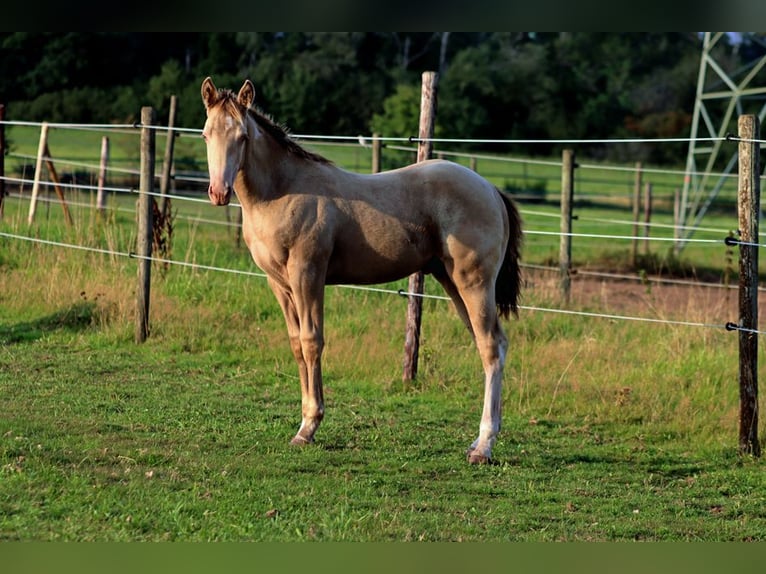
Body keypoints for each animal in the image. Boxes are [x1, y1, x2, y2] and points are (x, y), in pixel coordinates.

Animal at [200, 77, 523, 464]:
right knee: (490, 343)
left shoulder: (308, 274)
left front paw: (308, 428)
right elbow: (296, 344)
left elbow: (312, 341)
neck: (282, 191)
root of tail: (490, 189)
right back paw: (477, 442)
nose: (219, 192)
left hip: (474, 282)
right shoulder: (279, 283)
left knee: (491, 346)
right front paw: (305, 422)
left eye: (243, 137)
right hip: (451, 281)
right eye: (206, 134)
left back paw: (484, 446)